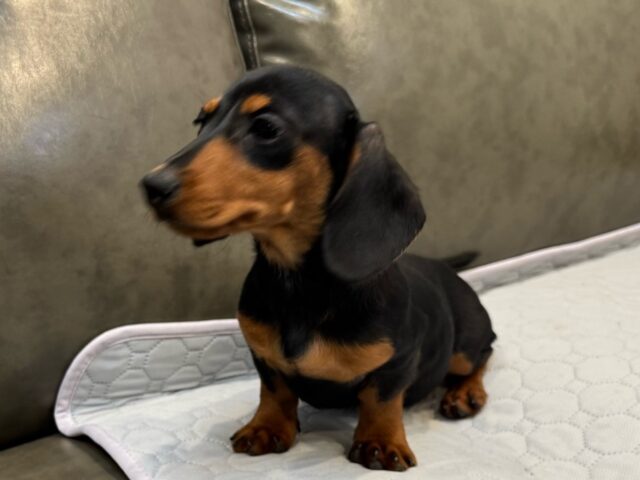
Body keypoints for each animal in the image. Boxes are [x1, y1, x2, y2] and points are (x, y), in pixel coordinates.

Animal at [141, 66, 496, 471]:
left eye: (266, 127)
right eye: (201, 121)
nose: (151, 185)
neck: (300, 284)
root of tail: (445, 269)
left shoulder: (399, 360)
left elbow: (380, 400)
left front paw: (380, 441)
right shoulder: (263, 356)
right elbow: (274, 391)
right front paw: (266, 427)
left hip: (464, 345)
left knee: (484, 354)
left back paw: (466, 393)